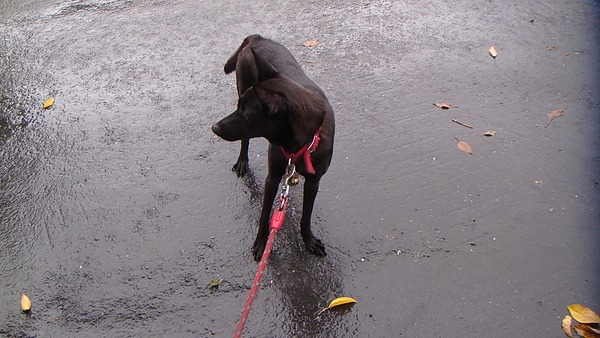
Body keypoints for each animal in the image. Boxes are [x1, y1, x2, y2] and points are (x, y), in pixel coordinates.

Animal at [212, 35, 336, 262]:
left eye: (247, 115)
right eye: (239, 108)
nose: (214, 128)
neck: (300, 143)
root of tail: (257, 38)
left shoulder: (314, 182)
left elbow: (306, 216)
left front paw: (308, 240)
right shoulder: (273, 178)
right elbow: (264, 215)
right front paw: (261, 244)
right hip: (241, 84)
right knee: (245, 141)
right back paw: (242, 162)